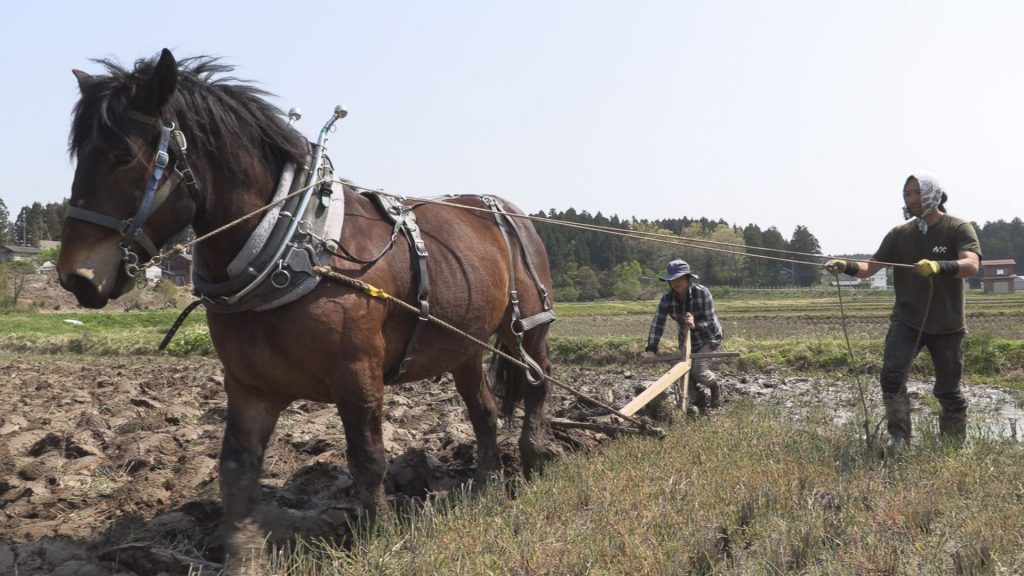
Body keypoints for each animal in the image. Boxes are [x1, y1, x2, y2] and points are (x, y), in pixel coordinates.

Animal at [59, 48, 557, 545]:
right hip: (463, 345)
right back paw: (485, 486)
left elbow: (367, 459)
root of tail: (507, 209)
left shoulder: (358, 374)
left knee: (538, 386)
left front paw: (378, 537)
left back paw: (532, 465)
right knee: (484, 412)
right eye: (78, 156)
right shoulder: (249, 385)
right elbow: (235, 474)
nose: (75, 276)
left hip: (527, 328)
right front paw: (240, 550)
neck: (291, 248)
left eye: (123, 155)